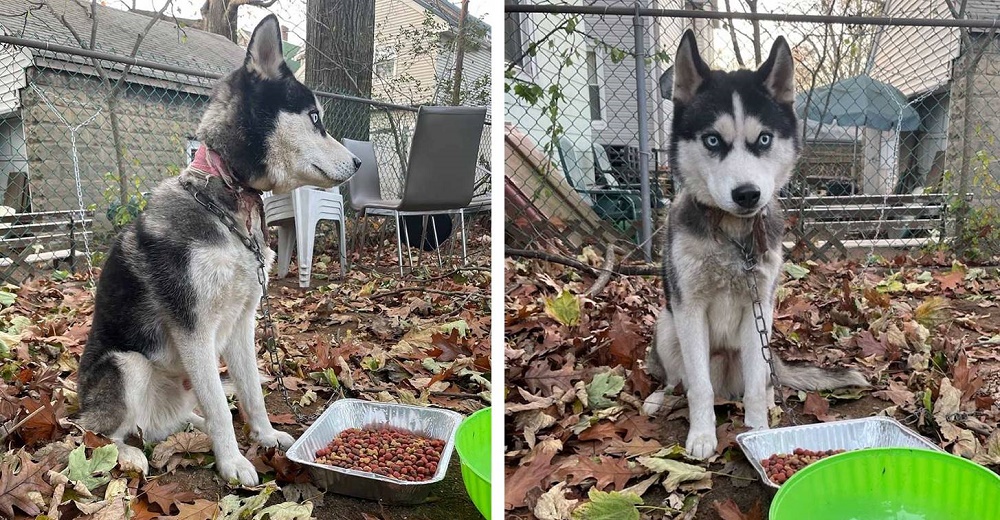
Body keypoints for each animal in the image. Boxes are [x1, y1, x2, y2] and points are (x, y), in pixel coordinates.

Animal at [78, 16, 360, 488]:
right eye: (315, 118)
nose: (357, 163)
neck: (226, 200)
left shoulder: (243, 323)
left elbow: (251, 392)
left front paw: (264, 436)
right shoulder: (194, 330)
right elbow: (221, 408)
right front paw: (232, 463)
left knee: (169, 421)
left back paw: (190, 427)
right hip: (126, 366)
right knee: (98, 433)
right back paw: (128, 454)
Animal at [640, 30, 868, 458]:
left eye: (763, 139)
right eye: (713, 140)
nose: (747, 194)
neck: (734, 238)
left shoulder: (758, 306)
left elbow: (755, 391)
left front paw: (760, 431)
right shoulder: (689, 309)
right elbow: (698, 387)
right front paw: (702, 435)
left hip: (765, 339)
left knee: (760, 379)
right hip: (667, 325)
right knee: (679, 380)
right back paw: (660, 397)